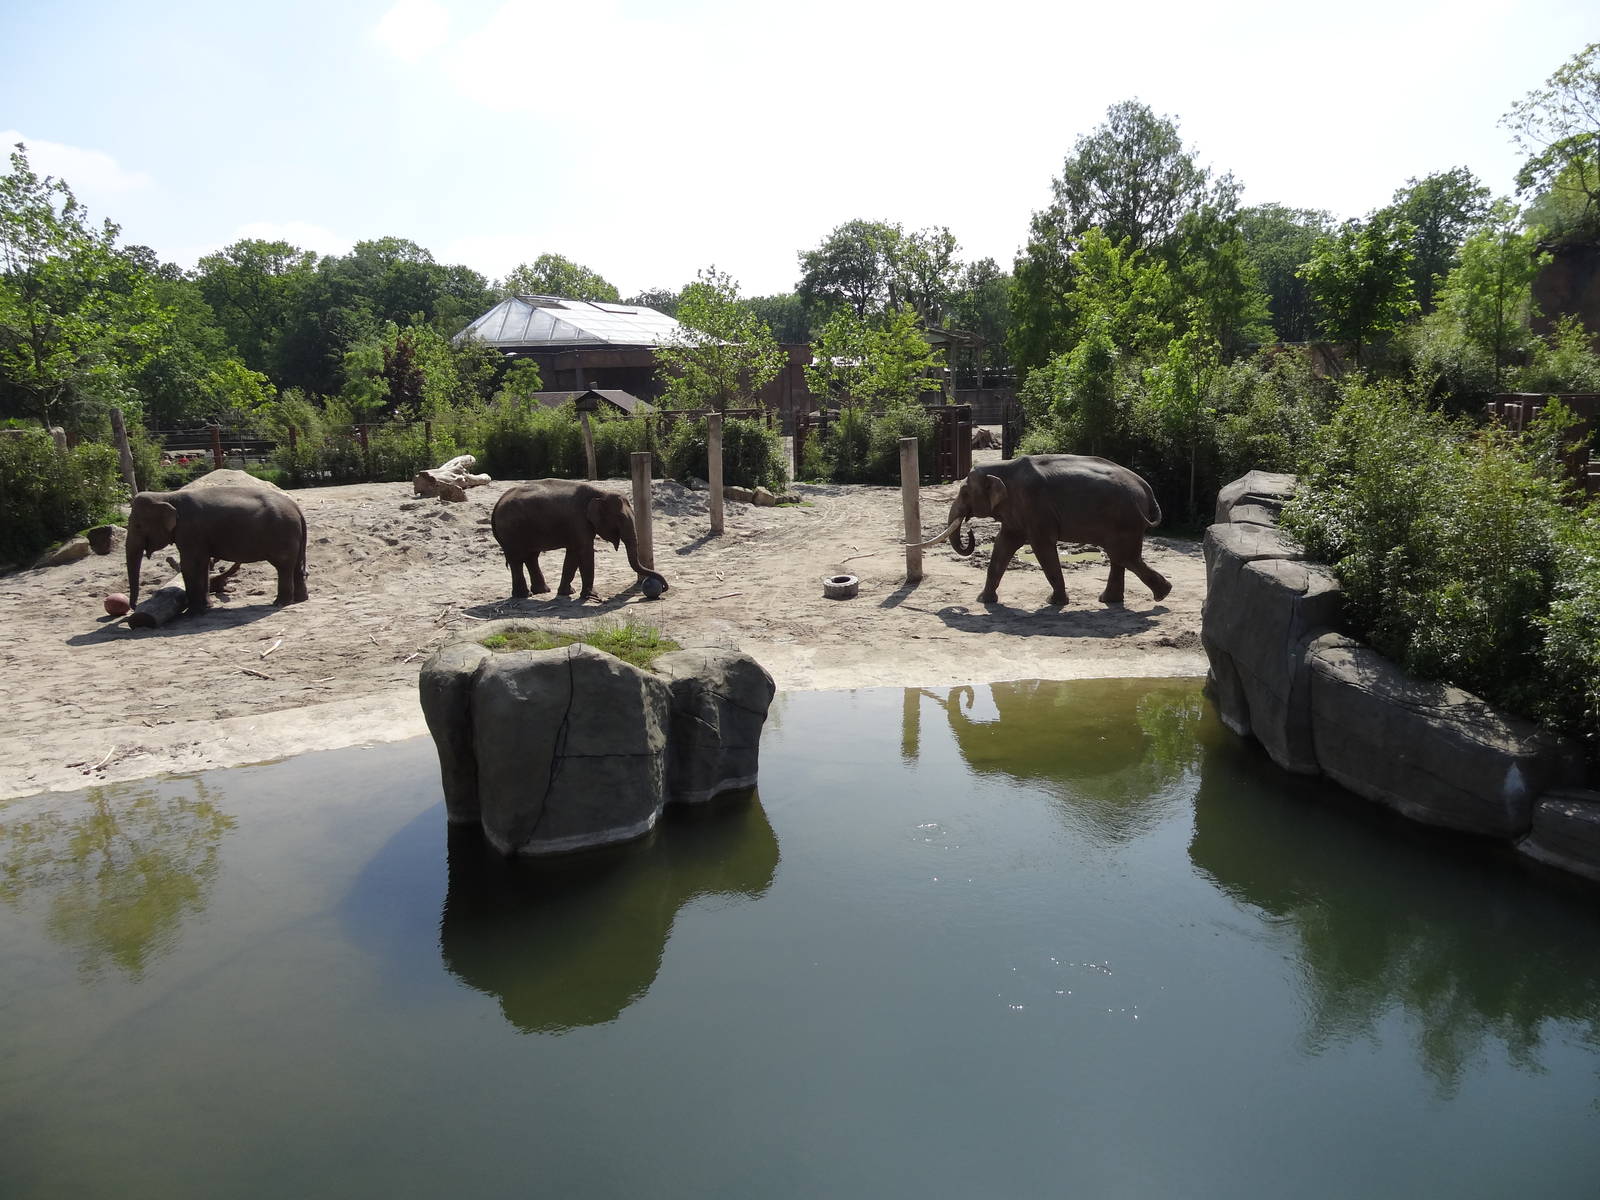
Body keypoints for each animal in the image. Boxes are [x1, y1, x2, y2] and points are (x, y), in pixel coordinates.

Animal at [126, 487, 309, 614]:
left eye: (137, 525)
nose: (134, 608)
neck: (166, 496)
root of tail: (297, 508)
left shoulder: (190, 531)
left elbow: (190, 565)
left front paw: (192, 613)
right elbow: (202, 564)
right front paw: (206, 607)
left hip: (283, 534)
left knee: (284, 567)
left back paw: (280, 603)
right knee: (295, 567)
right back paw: (299, 600)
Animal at [490, 479, 669, 602]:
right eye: (619, 518)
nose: (664, 588)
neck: (600, 492)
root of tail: (497, 503)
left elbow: (573, 554)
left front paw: (568, 593)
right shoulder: (578, 520)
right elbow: (585, 551)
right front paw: (592, 596)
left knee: (531, 556)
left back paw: (542, 591)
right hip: (511, 531)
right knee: (517, 559)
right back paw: (524, 595)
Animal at [909, 454, 1170, 607]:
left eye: (964, 492)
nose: (969, 529)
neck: (1003, 467)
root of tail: (1148, 490)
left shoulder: (1034, 506)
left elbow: (1042, 547)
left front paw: (1055, 602)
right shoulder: (1016, 511)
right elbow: (1003, 544)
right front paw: (984, 600)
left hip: (1126, 519)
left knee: (1125, 556)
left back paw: (1162, 594)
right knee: (1120, 557)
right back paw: (1113, 600)